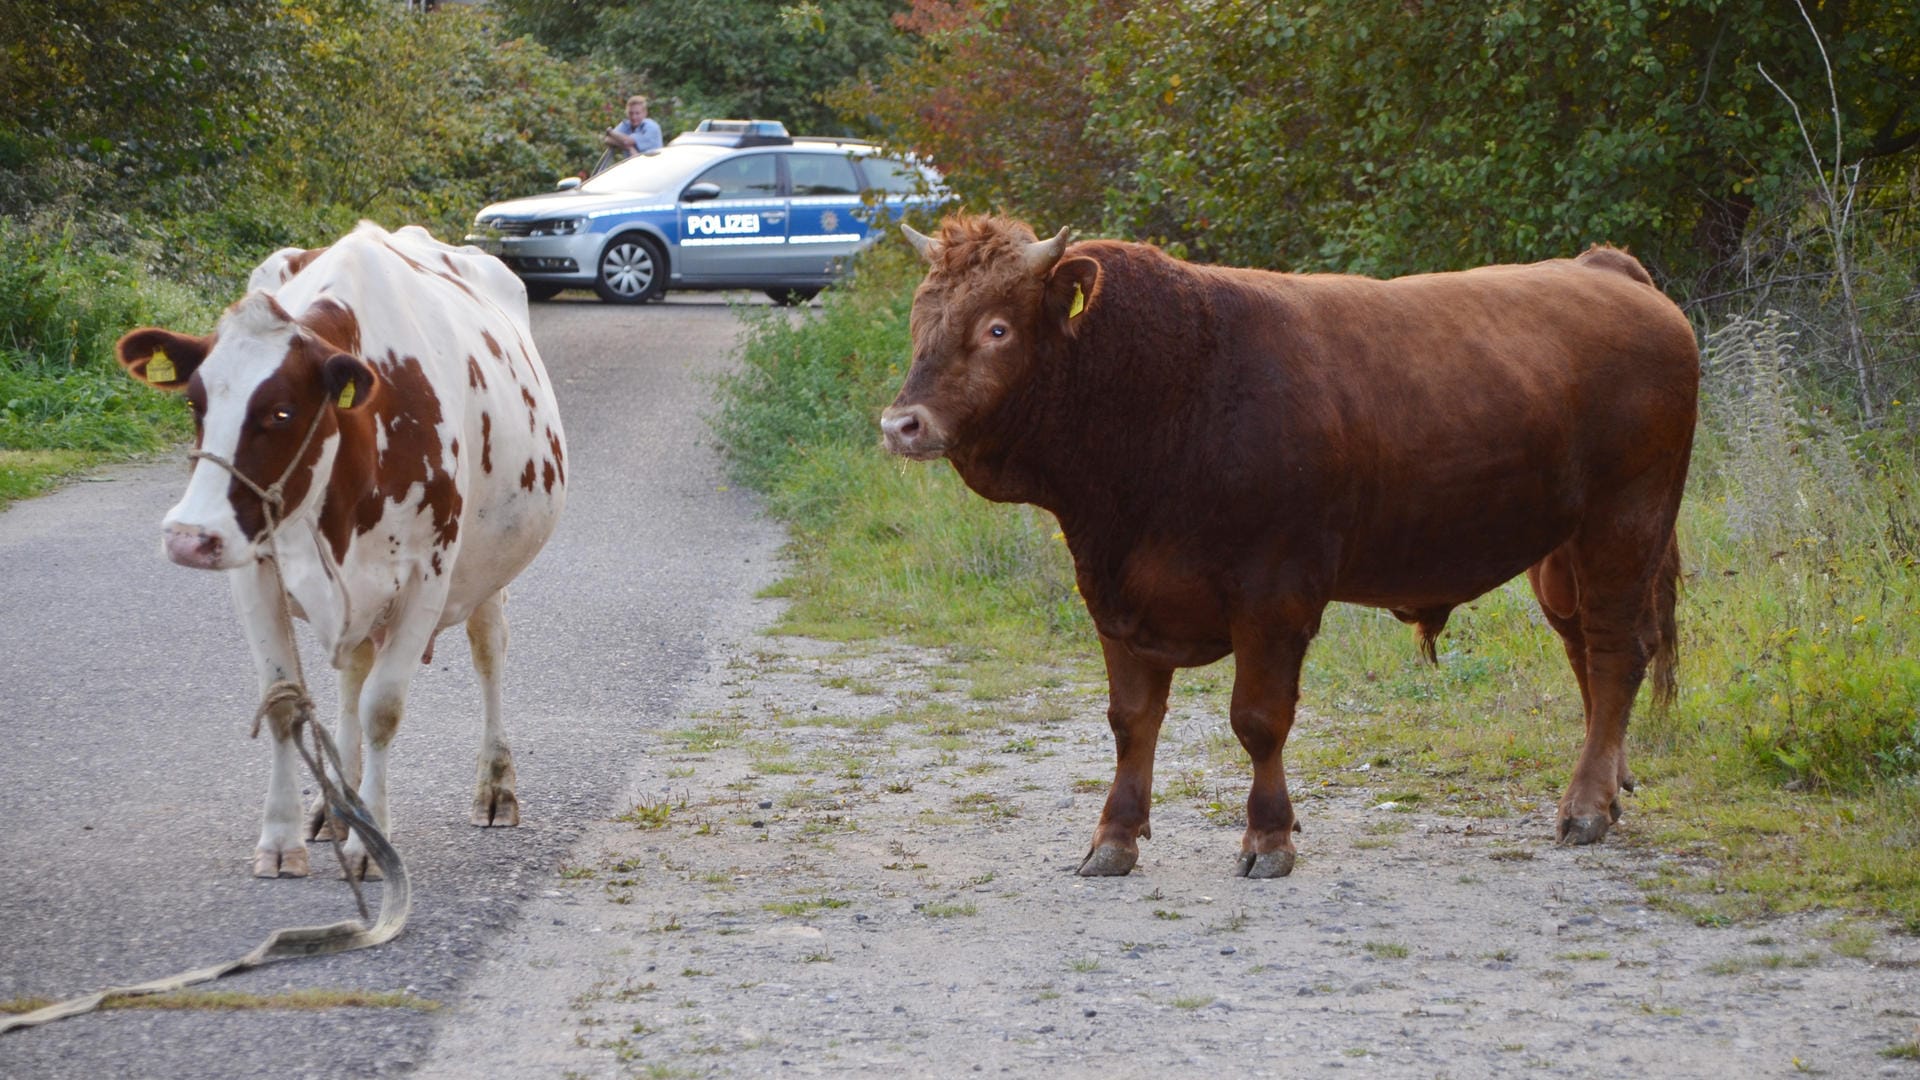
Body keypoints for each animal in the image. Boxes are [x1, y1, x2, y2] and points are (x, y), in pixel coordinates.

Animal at [117, 222, 564, 880]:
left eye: (282, 411)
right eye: (195, 404)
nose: (188, 536)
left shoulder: (427, 576)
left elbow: (383, 709)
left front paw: (370, 845)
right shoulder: (255, 570)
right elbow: (285, 704)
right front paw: (282, 838)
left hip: (487, 573)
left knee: (489, 652)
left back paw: (495, 789)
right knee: (353, 671)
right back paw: (334, 809)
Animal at [879, 216, 1697, 876]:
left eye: (997, 328)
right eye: (922, 317)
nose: (901, 424)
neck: (1172, 391)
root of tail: (1603, 268)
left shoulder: (1274, 595)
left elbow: (1258, 720)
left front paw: (1268, 838)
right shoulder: (1115, 594)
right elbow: (1131, 720)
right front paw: (1114, 837)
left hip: (1627, 520)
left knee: (1617, 651)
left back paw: (1584, 807)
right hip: (1561, 552)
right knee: (1586, 651)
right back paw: (1610, 787)